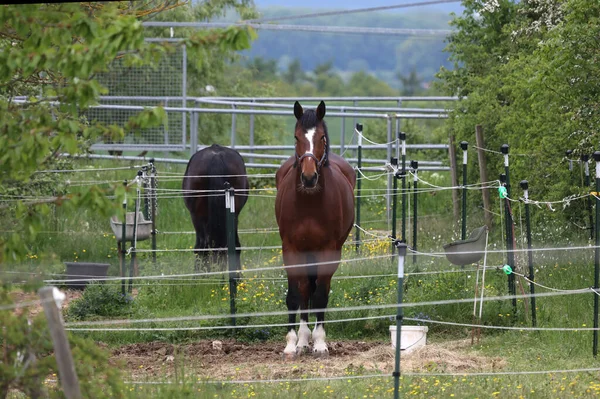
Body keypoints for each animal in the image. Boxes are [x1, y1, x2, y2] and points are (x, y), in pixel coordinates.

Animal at [276, 101, 356, 360]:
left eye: (321, 137)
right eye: (296, 137)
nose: (309, 177)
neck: (309, 204)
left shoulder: (329, 250)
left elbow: (320, 295)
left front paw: (320, 344)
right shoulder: (291, 249)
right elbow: (295, 295)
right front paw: (292, 344)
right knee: (303, 291)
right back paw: (302, 341)